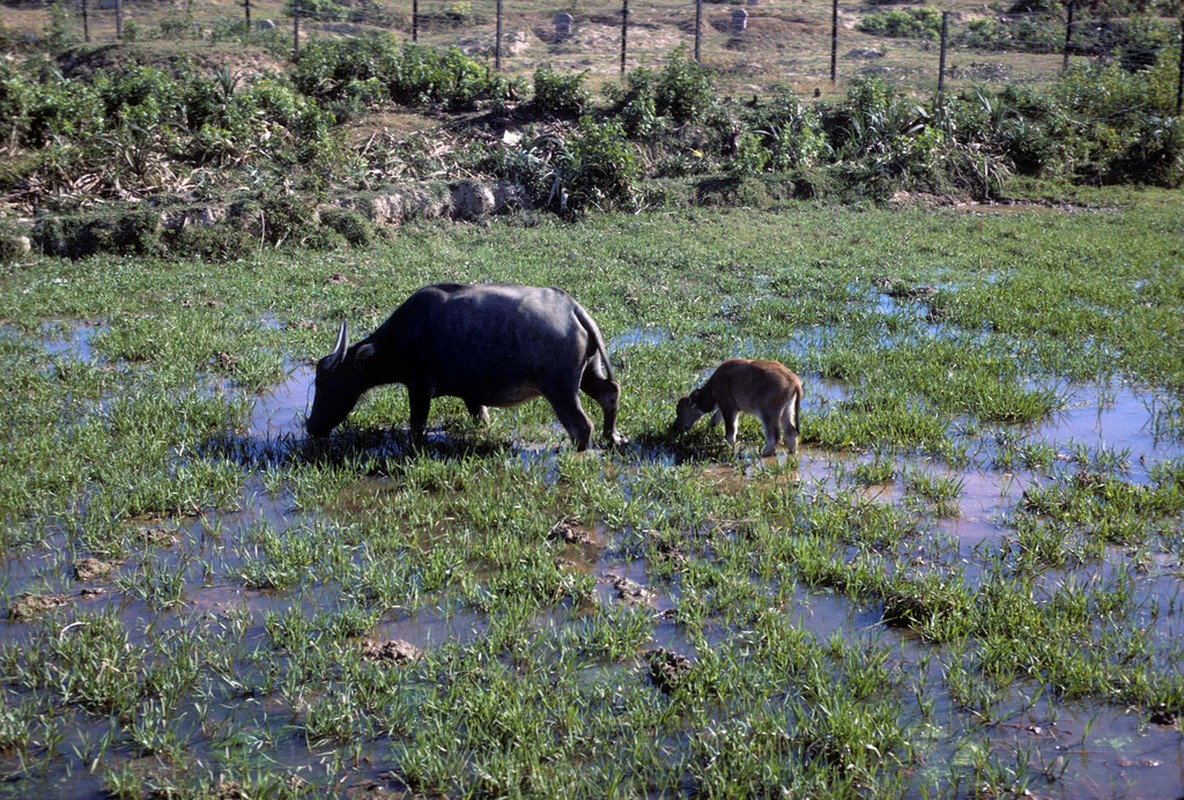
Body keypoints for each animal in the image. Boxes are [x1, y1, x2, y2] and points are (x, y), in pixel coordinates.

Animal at [307, 282, 629, 449]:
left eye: (327, 383)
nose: (311, 427)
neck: (403, 333)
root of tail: (572, 308)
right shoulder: (472, 396)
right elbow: (481, 417)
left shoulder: (419, 388)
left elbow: (417, 426)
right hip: (588, 373)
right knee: (609, 392)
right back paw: (612, 435)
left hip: (560, 389)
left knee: (580, 426)